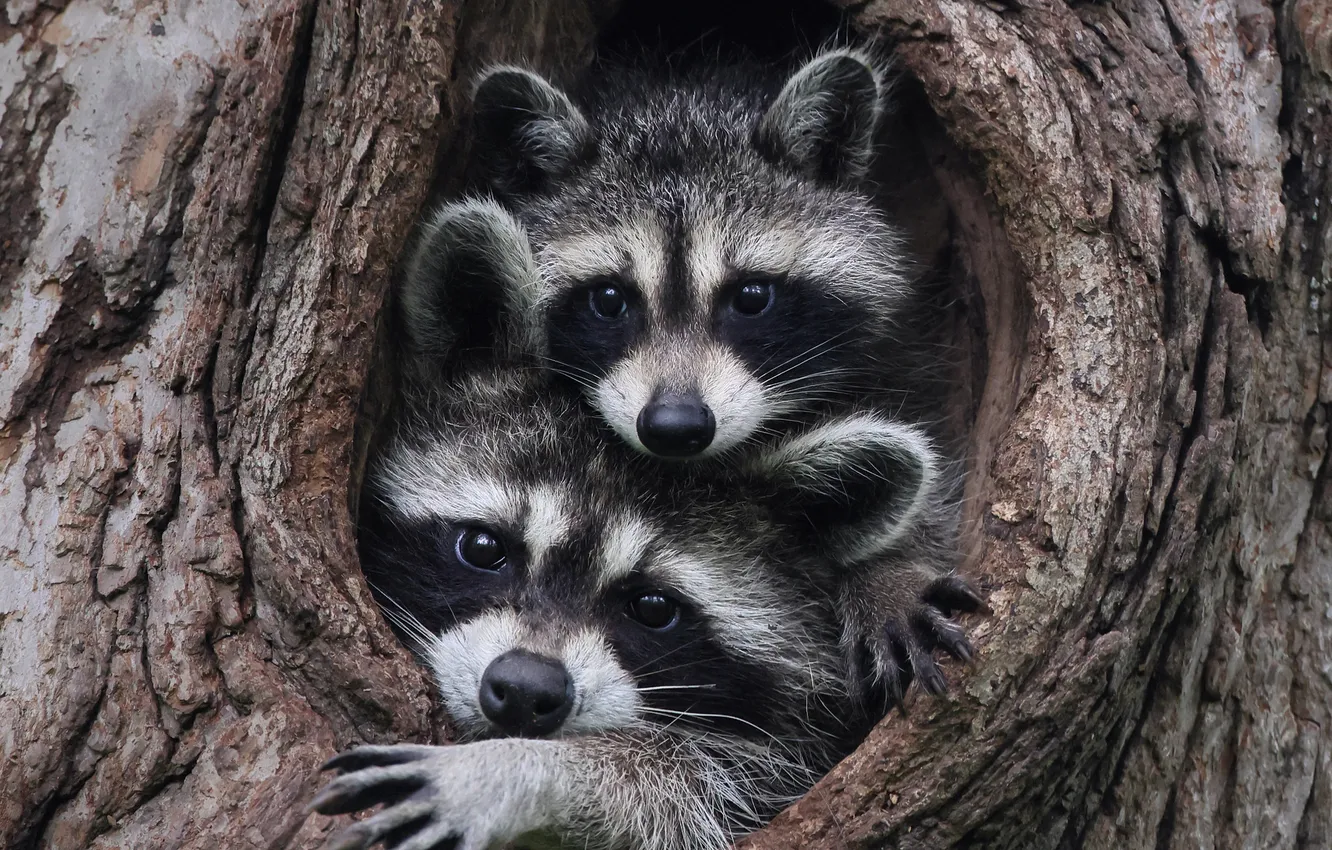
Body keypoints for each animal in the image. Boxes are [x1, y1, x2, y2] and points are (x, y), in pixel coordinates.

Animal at [311, 366, 971, 850]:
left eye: (652, 607)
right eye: (482, 548)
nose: (525, 688)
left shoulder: (787, 758)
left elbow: (680, 793)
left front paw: (523, 773)